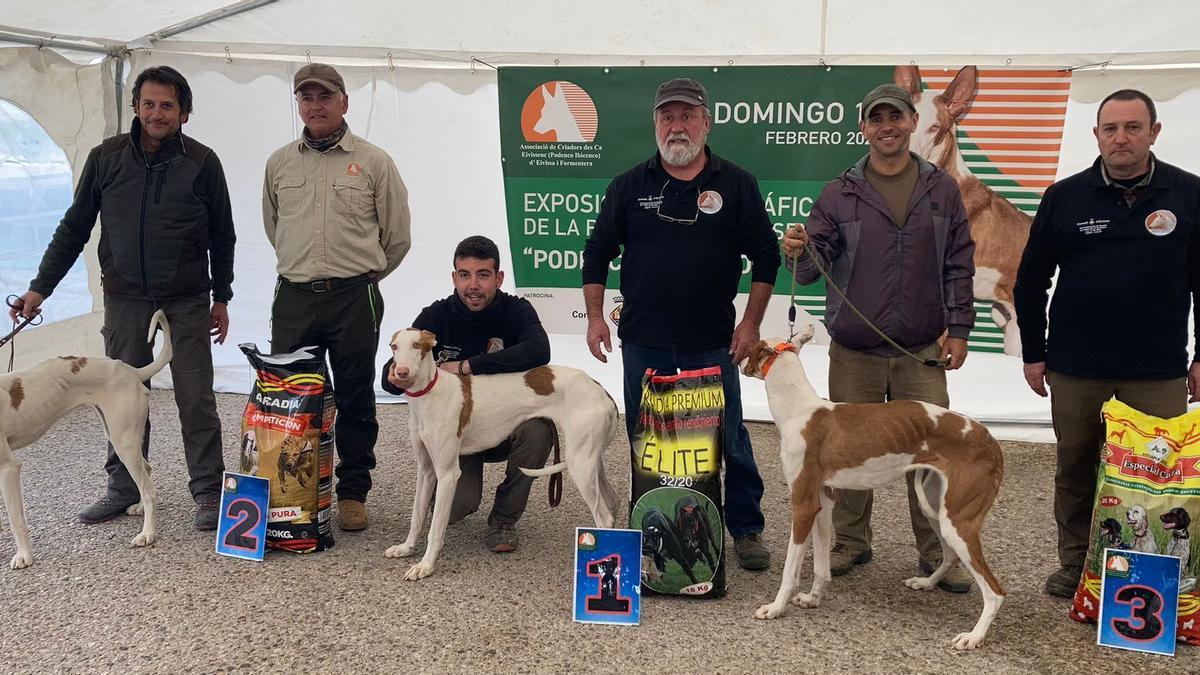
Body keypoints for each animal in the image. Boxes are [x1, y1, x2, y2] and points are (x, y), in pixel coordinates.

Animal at [0, 309, 170, 566]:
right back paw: (140, 508)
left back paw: (147, 533)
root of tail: (129, 369)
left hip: (123, 441)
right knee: (146, 472)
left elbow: (15, 519)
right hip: (121, 435)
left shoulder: (8, 467)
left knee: (149, 490)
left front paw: (24, 556)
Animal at [384, 326, 624, 578]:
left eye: (417, 345)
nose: (401, 372)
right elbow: (417, 516)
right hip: (590, 460)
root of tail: (601, 389)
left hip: (581, 465)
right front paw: (406, 548)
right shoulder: (427, 470)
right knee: (612, 501)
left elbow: (436, 527)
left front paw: (426, 565)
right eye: (394, 346)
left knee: (604, 517)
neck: (430, 394)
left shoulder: (448, 475)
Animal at [739, 324, 1003, 648]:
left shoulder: (803, 504)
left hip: (959, 520)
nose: (738, 361)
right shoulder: (823, 501)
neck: (798, 410)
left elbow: (790, 570)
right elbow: (821, 565)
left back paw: (974, 636)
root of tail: (990, 441)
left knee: (994, 591)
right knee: (950, 555)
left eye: (751, 348)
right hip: (937, 506)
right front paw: (813, 599)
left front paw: (775, 607)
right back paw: (926, 582)